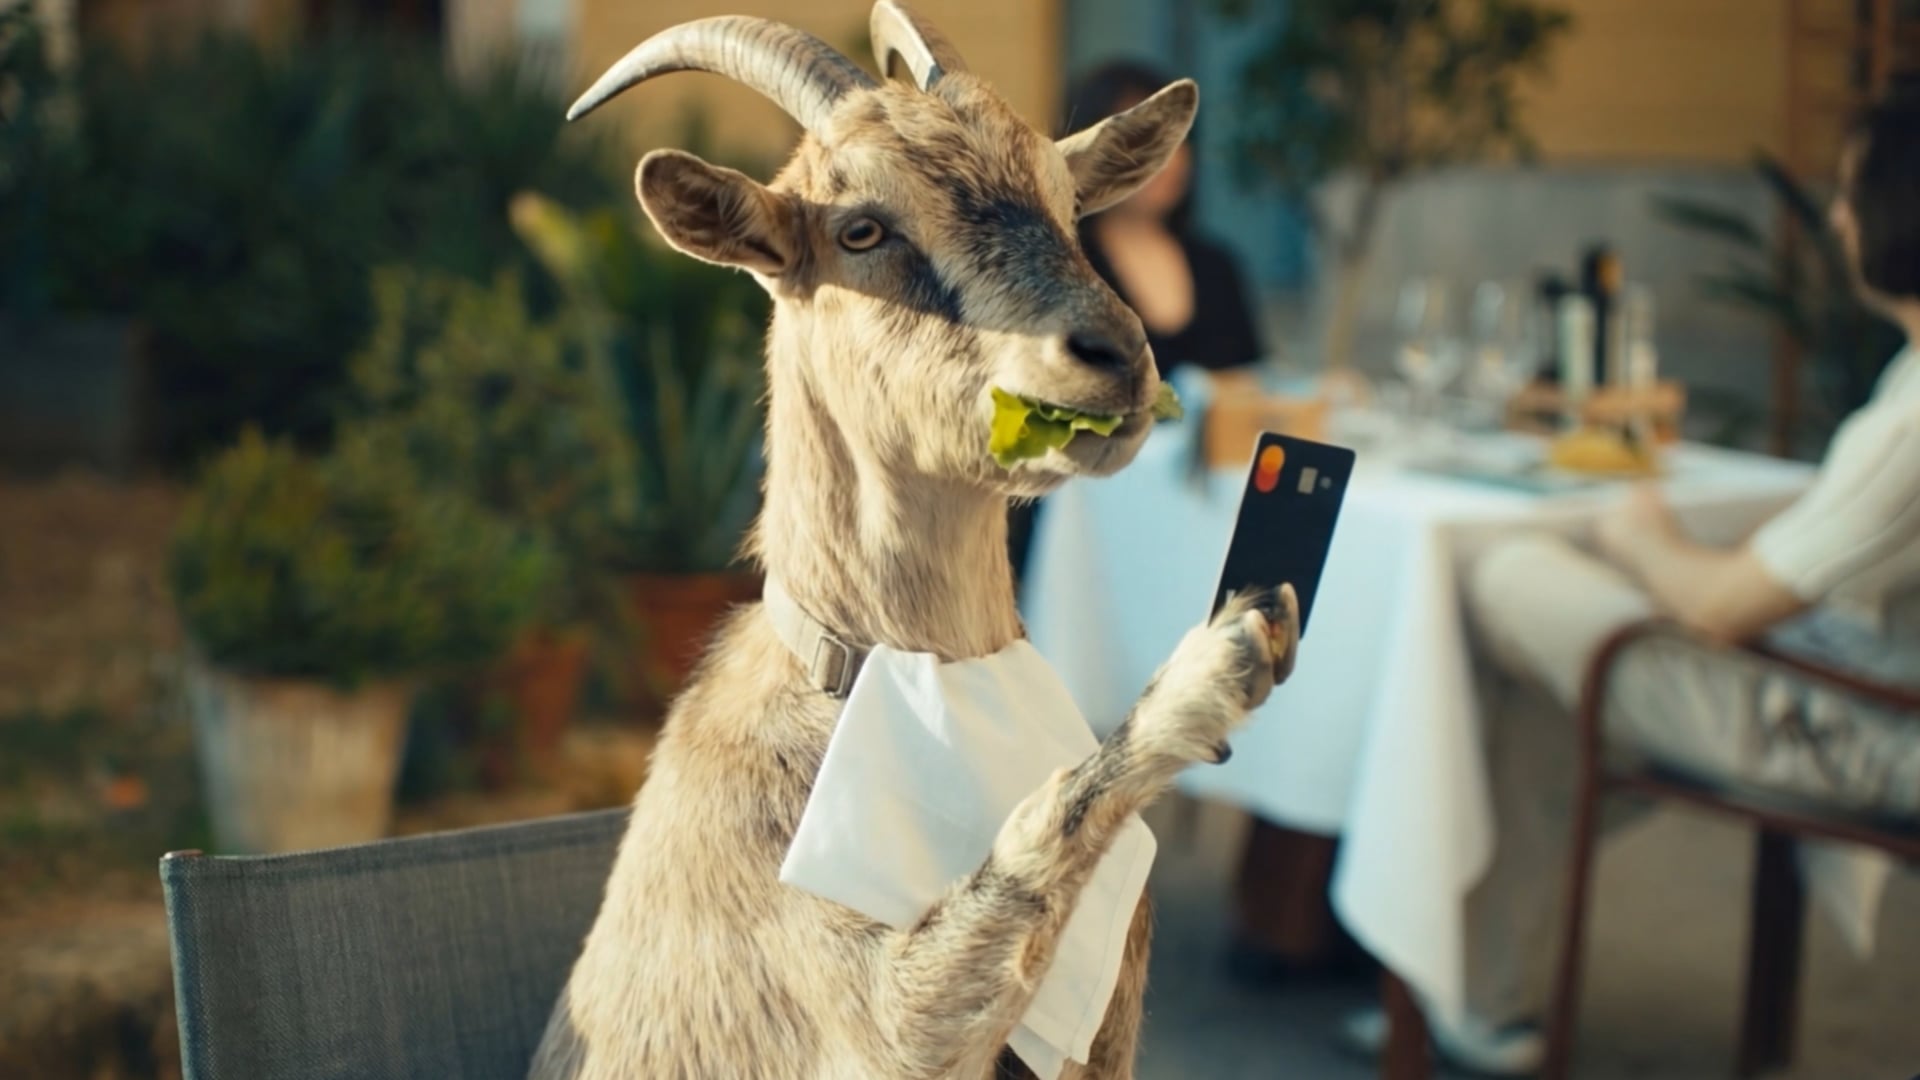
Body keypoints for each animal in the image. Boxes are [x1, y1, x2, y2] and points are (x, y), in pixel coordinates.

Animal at [529, 5, 1299, 1078]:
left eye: (1067, 201)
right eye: (861, 227)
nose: (1113, 354)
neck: (875, 681)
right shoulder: (874, 1027)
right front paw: (1213, 667)